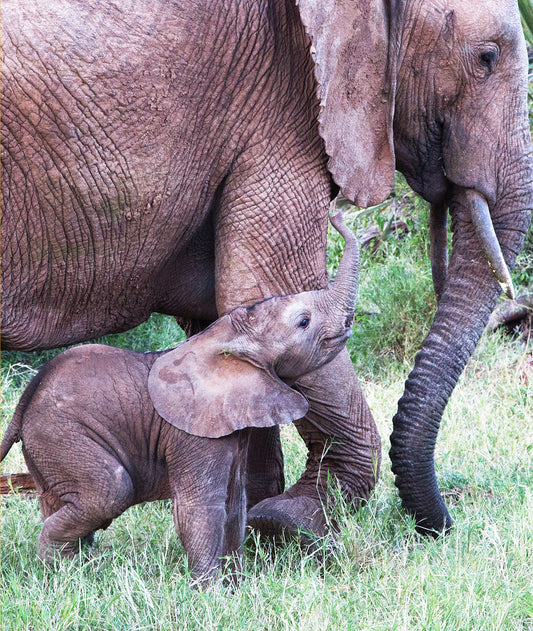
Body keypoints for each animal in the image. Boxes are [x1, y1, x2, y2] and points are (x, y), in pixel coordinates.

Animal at [1, 0, 532, 536]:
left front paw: (260, 528)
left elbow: (222, 318)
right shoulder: (279, 104)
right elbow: (269, 289)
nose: (441, 527)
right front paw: (290, 523)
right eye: (486, 58)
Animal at [2, 214, 360, 584]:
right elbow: (202, 506)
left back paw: (77, 568)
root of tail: (23, 405)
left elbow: (235, 502)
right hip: (62, 434)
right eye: (303, 322)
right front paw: (209, 588)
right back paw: (63, 570)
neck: (223, 335)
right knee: (109, 492)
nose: (337, 216)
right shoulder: (192, 436)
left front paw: (236, 583)